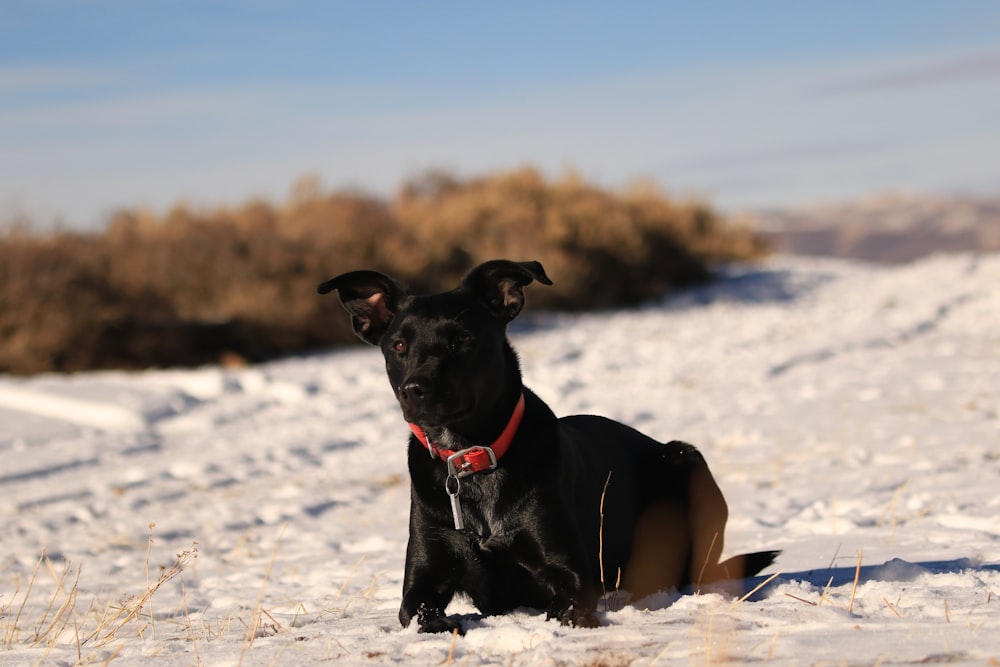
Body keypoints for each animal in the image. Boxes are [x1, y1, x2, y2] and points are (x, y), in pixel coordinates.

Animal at [322, 260, 780, 632]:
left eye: (462, 339)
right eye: (398, 345)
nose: (415, 390)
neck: (473, 458)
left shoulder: (570, 574)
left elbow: (568, 605)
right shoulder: (424, 574)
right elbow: (419, 611)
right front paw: (441, 625)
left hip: (685, 458)